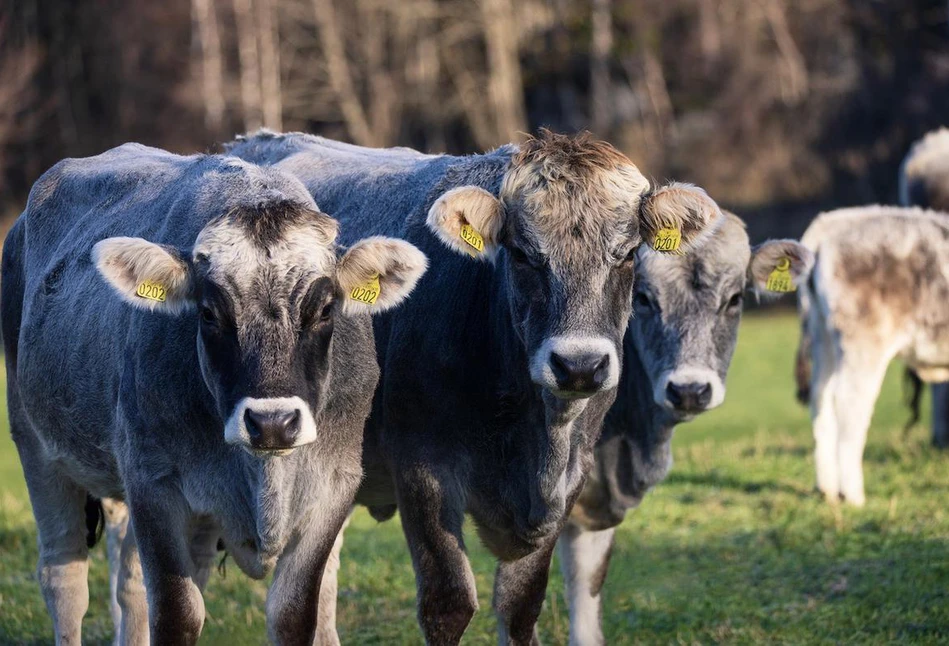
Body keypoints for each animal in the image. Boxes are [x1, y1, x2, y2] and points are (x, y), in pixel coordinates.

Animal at [2, 144, 426, 644]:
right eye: (208, 312)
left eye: (324, 309)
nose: (272, 423)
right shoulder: (154, 484)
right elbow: (177, 612)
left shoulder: (333, 488)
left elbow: (293, 614)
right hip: (35, 446)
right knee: (64, 579)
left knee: (131, 583)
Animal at [226, 129, 724, 644]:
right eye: (522, 253)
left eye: (627, 255)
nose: (579, 365)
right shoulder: (422, 466)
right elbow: (449, 604)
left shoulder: (572, 476)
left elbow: (521, 606)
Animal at [788, 206, 948, 506]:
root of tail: (833, 222)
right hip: (863, 340)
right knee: (850, 404)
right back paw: (853, 495)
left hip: (823, 335)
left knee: (821, 400)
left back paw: (827, 489)